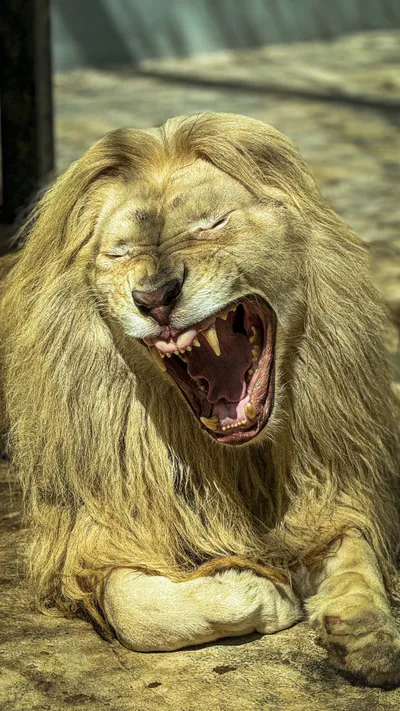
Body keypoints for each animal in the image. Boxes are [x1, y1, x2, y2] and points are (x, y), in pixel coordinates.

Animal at [1, 112, 399, 688]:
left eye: (210, 225)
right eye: (120, 252)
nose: (155, 297)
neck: (236, 459)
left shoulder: (332, 479)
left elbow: (356, 554)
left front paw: (367, 633)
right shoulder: (96, 526)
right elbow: (136, 610)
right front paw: (269, 592)